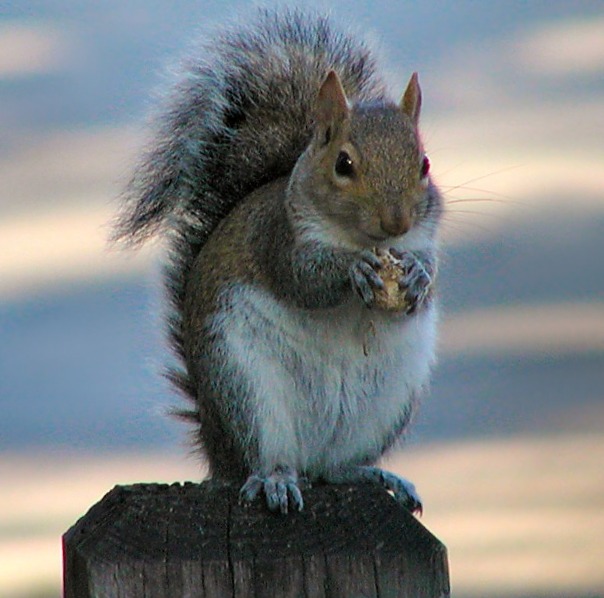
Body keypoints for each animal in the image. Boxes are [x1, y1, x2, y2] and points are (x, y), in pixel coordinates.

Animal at [114, 8, 444, 516]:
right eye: (344, 164)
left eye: (424, 164)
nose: (397, 221)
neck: (355, 238)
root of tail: (218, 453)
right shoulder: (279, 239)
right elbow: (303, 280)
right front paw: (355, 271)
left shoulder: (424, 238)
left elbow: (429, 272)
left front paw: (418, 279)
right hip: (244, 386)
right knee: (272, 456)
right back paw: (275, 480)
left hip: (389, 401)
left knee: (333, 469)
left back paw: (375, 475)